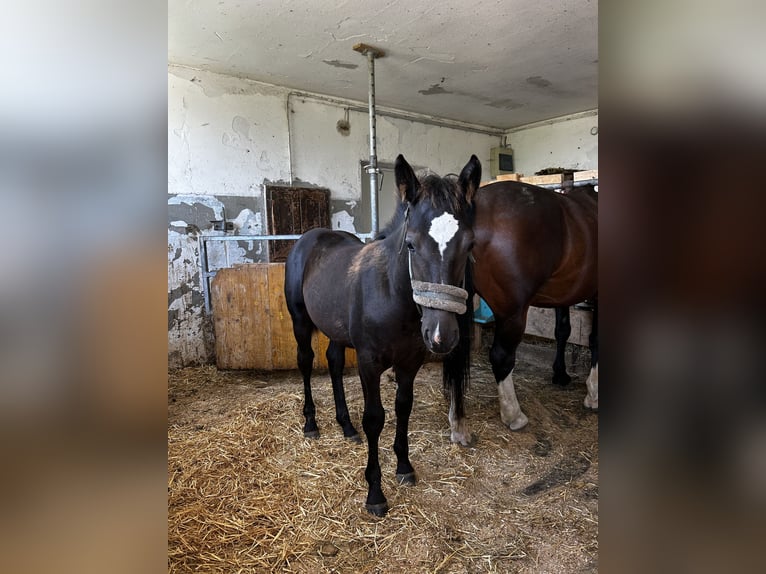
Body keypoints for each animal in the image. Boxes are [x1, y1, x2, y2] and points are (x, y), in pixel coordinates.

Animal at [284, 154, 480, 516]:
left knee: (333, 363)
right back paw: (311, 424)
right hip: (301, 322)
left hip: (336, 331)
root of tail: (310, 238)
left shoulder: (409, 362)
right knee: (306, 362)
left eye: (470, 244)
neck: (392, 294)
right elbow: (375, 419)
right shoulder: (369, 363)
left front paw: (404, 466)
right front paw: (375, 493)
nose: (441, 335)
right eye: (411, 244)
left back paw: (346, 427)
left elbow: (403, 407)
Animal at [444, 180, 597, 439]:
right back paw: (513, 415)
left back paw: (457, 422)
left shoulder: (563, 295)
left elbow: (562, 330)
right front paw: (593, 394)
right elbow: (595, 339)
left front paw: (560, 374)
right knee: (501, 357)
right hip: (513, 313)